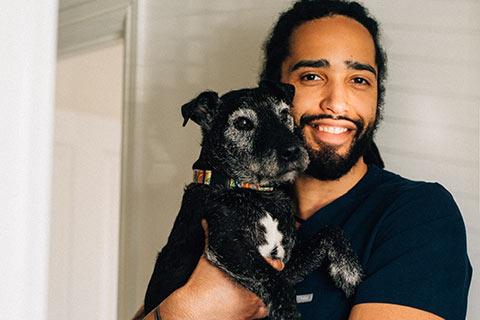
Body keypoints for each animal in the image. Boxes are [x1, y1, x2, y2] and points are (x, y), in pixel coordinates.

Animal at [144, 81, 362, 318]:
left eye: (284, 114)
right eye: (242, 123)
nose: (293, 151)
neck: (256, 193)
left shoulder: (284, 261)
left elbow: (330, 230)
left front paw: (349, 270)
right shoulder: (227, 244)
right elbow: (274, 278)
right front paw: (287, 311)